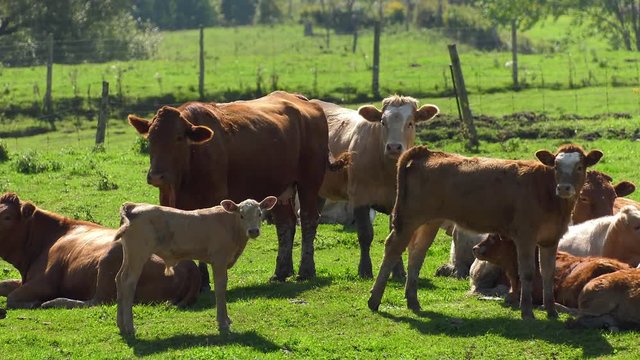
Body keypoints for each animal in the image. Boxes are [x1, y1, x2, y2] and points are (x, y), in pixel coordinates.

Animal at [0, 193, 200, 308]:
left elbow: (12, 298)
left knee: (98, 301)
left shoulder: (46, 282)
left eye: (7, 217)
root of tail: (190, 265)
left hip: (109, 261)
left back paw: (55, 302)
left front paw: (33, 302)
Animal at [115, 197, 278, 334]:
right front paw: (223, 322)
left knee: (119, 279)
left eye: (259, 213)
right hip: (138, 254)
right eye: (241, 215)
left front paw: (226, 319)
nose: (253, 231)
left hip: (128, 255)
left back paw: (121, 325)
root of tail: (132, 206)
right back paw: (129, 327)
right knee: (129, 283)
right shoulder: (219, 260)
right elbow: (220, 288)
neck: (231, 227)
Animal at [314, 95, 440, 278]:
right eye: (383, 122)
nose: (394, 147)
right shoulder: (360, 197)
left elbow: (395, 234)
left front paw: (398, 271)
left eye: (410, 123)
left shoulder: (399, 202)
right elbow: (365, 234)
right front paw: (365, 269)